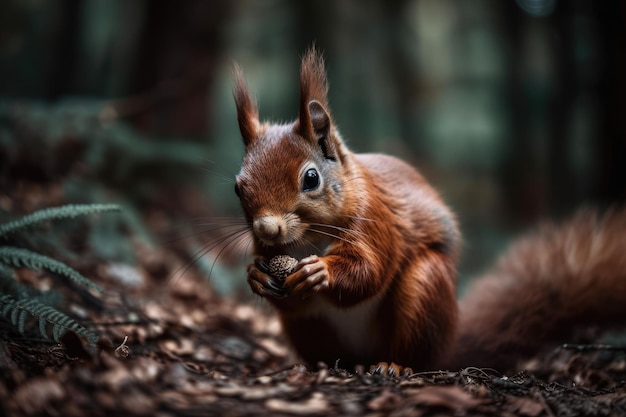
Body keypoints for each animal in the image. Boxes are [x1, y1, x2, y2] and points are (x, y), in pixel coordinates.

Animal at [232, 48, 624, 374]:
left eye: (311, 178)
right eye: (238, 187)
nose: (266, 229)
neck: (309, 239)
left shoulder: (376, 220)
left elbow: (369, 270)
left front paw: (321, 271)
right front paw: (255, 275)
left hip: (425, 288)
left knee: (415, 350)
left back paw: (394, 366)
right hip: (309, 328)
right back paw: (320, 366)